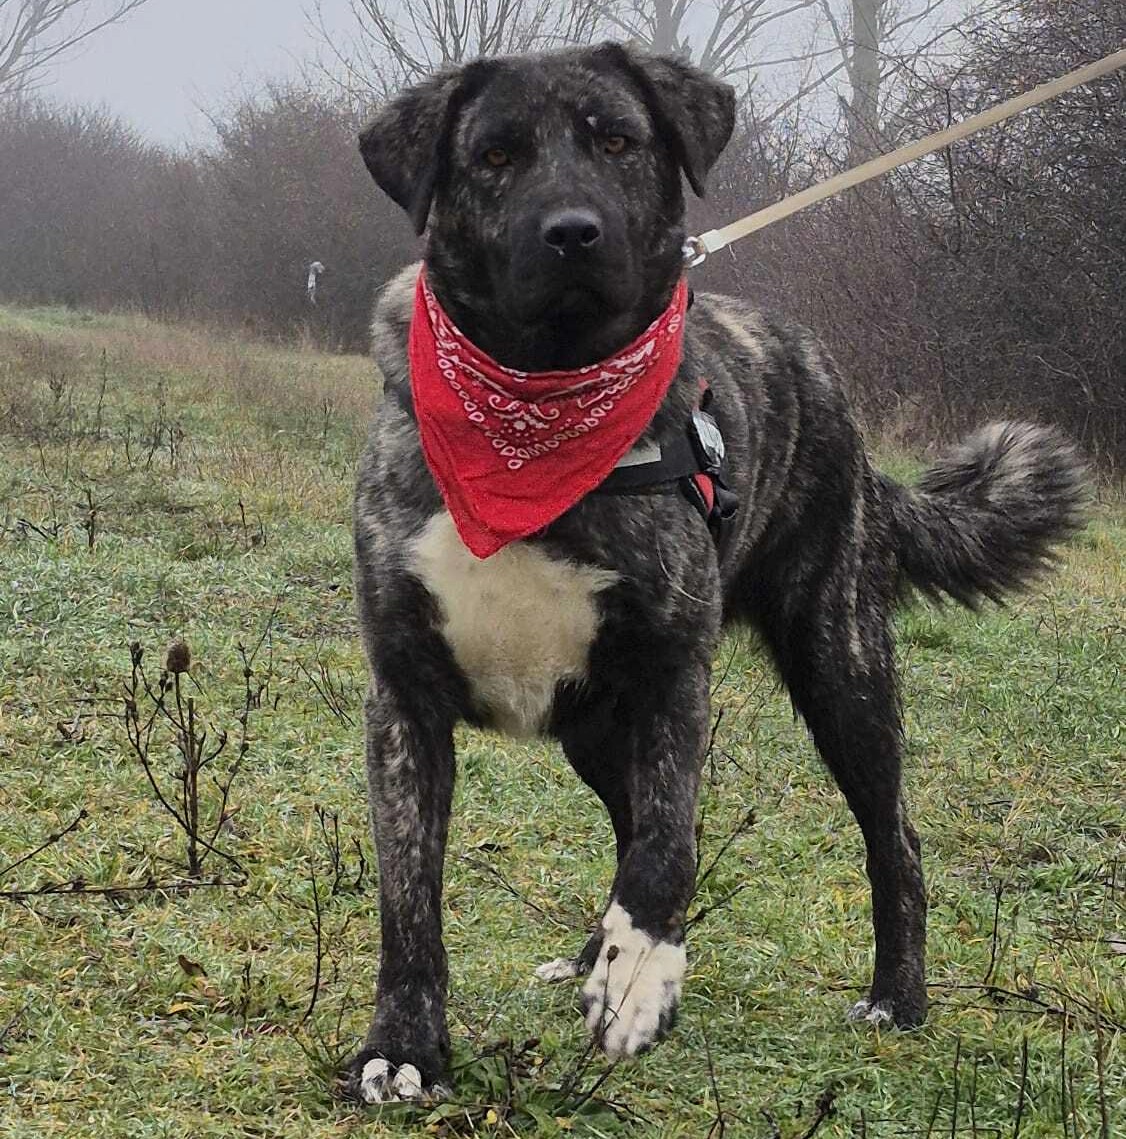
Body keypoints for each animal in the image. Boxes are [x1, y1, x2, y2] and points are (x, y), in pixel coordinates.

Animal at [348, 42, 1087, 1102]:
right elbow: (411, 895)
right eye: (492, 156)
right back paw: (592, 955)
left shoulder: (672, 674)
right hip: (595, 726)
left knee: (888, 838)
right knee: (625, 821)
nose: (573, 234)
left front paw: (642, 980)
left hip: (840, 666)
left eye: (619, 141)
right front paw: (405, 1046)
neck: (541, 412)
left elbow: (669, 849)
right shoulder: (404, 697)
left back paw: (894, 996)